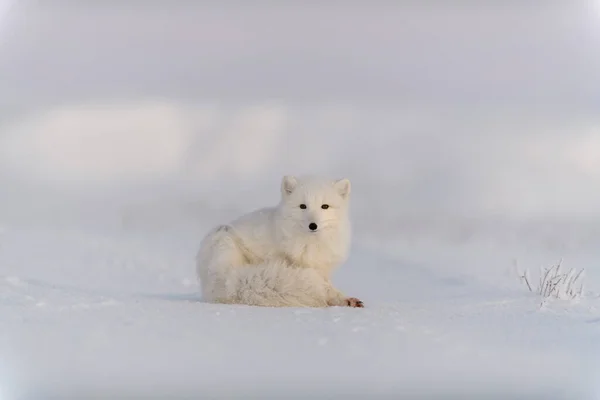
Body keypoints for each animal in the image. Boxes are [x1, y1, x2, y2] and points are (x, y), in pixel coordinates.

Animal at [195, 173, 364, 308]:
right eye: (303, 206)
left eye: (325, 206)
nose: (313, 225)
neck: (309, 245)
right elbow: (325, 287)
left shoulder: (322, 269)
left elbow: (329, 287)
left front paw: (344, 299)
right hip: (225, 240)